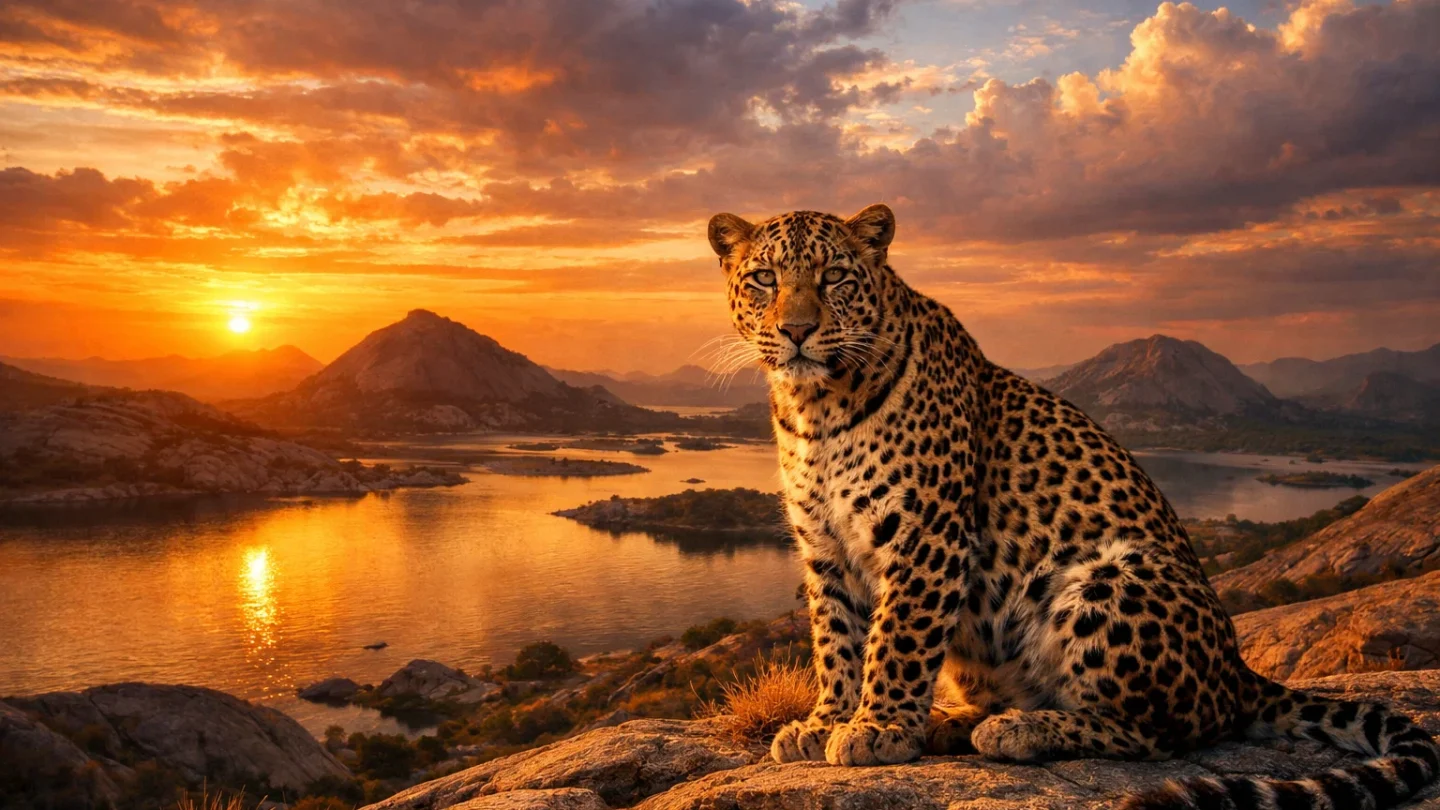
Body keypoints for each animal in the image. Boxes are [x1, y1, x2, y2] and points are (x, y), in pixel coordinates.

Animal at [705, 203, 1439, 809]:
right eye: (765, 279)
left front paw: (878, 729)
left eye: (834, 277)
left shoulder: (924, 535)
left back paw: (1017, 731)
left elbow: (896, 639)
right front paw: (829, 720)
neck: (814, 406)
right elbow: (836, 638)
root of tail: (1236, 670)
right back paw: (954, 723)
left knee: (1161, 734)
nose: (797, 331)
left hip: (1106, 581)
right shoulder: (824, 548)